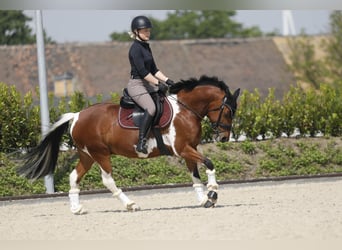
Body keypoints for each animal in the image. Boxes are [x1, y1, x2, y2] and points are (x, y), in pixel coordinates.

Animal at [16, 75, 240, 214]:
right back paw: (131, 204)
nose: (223, 138)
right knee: (107, 180)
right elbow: (209, 163)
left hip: (86, 155)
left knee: (74, 177)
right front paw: (213, 193)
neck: (185, 110)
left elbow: (194, 176)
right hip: (100, 154)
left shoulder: (188, 150)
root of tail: (77, 115)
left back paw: (76, 209)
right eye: (228, 111)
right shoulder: (183, 149)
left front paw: (204, 199)